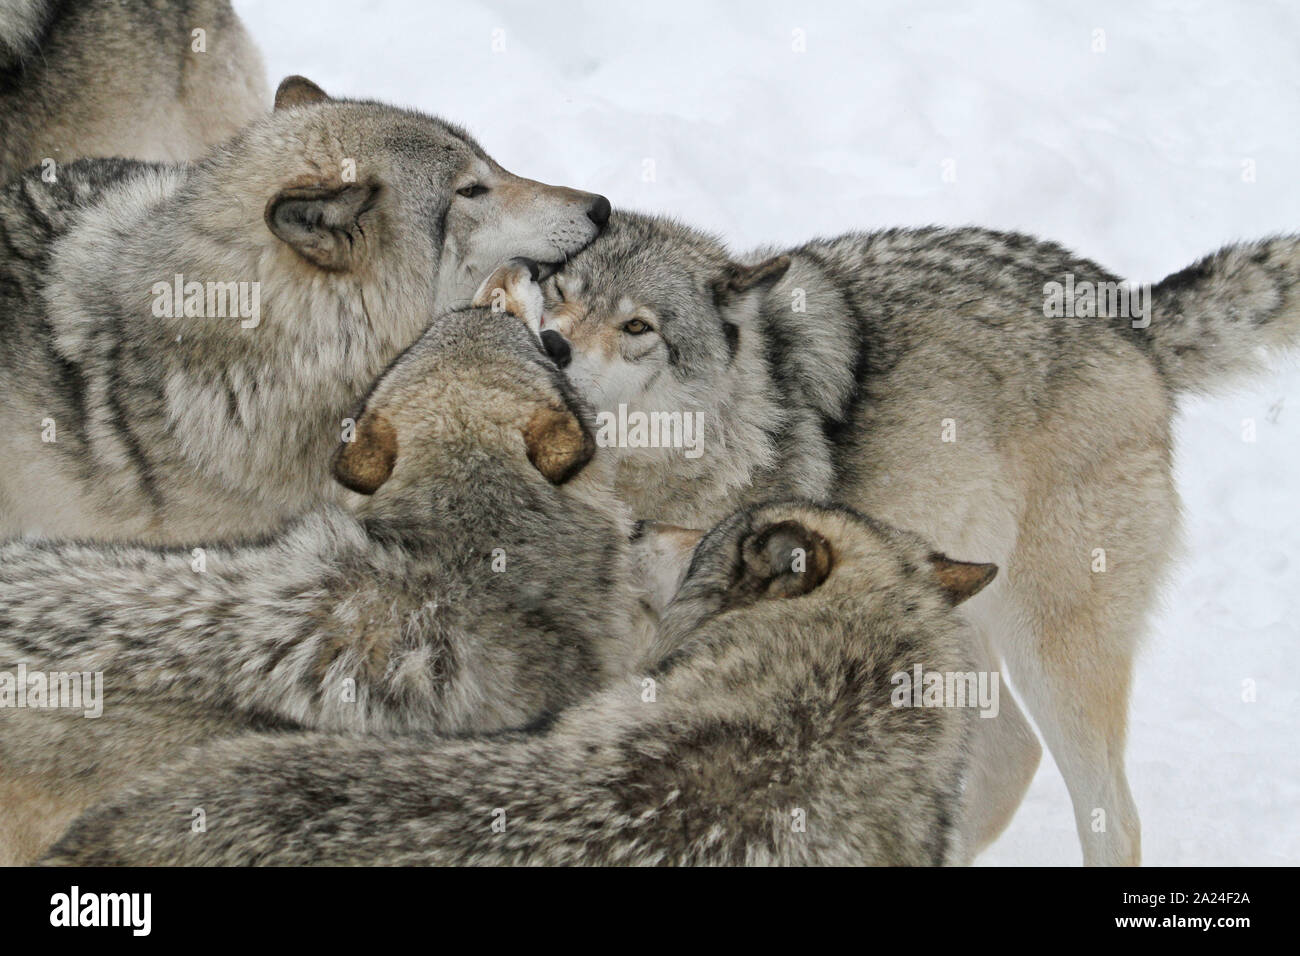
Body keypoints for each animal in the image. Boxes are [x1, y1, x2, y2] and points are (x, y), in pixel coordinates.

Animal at [525, 214, 1300, 868]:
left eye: (637, 326)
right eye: (558, 291)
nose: (551, 346)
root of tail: (1125, 305)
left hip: (1054, 651)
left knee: (1113, 816)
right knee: (1012, 754)